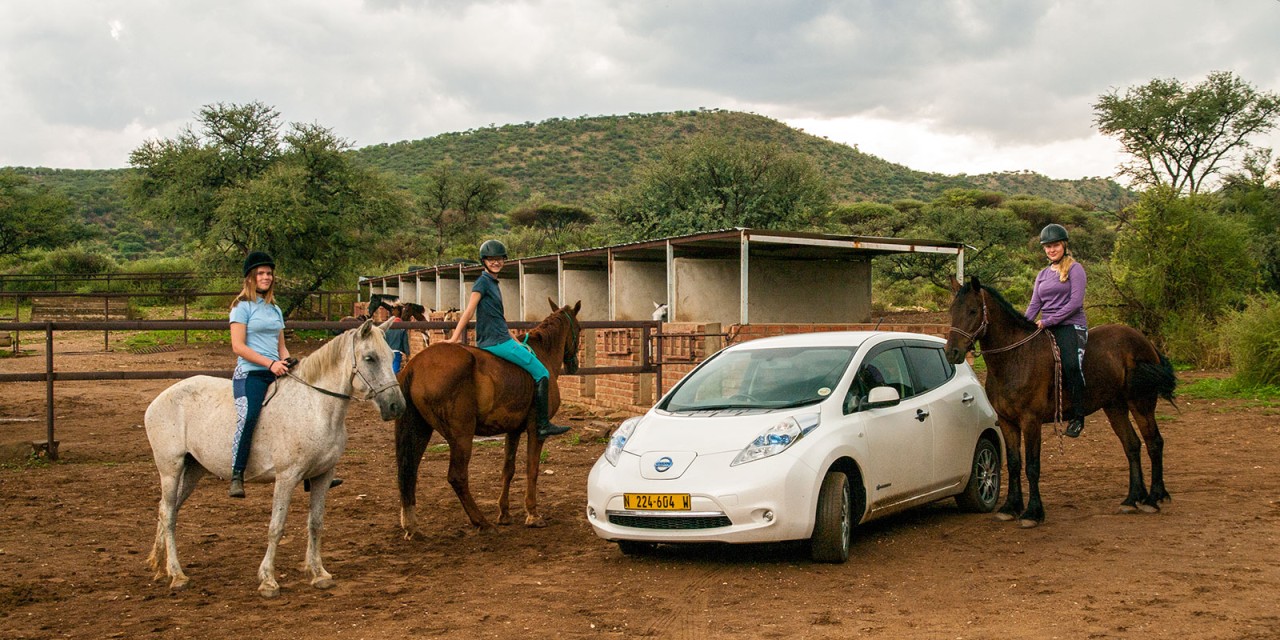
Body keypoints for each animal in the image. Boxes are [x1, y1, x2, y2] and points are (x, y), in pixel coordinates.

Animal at [144, 319, 405, 596]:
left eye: (392, 357)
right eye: (370, 358)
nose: (396, 407)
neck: (315, 407)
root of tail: (159, 399)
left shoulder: (323, 476)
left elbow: (316, 523)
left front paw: (319, 573)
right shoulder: (286, 477)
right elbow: (276, 527)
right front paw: (268, 579)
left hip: (193, 470)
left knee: (167, 510)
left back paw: (160, 567)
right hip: (170, 469)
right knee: (168, 514)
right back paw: (177, 575)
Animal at [395, 299, 582, 538]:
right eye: (579, 329)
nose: (574, 365)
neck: (543, 355)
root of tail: (415, 365)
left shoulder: (513, 430)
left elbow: (508, 470)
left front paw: (504, 513)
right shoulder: (535, 430)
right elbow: (532, 469)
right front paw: (532, 514)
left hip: (419, 430)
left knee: (409, 471)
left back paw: (411, 526)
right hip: (461, 436)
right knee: (457, 477)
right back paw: (481, 521)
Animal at [944, 275, 1177, 528]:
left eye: (973, 310)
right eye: (952, 311)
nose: (951, 353)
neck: (1015, 358)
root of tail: (1145, 342)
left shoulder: (1031, 421)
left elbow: (1032, 466)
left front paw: (1032, 513)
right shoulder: (1007, 421)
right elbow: (1014, 464)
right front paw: (1010, 507)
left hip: (1141, 402)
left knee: (1154, 442)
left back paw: (1153, 498)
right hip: (1114, 406)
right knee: (1132, 445)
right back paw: (1133, 499)